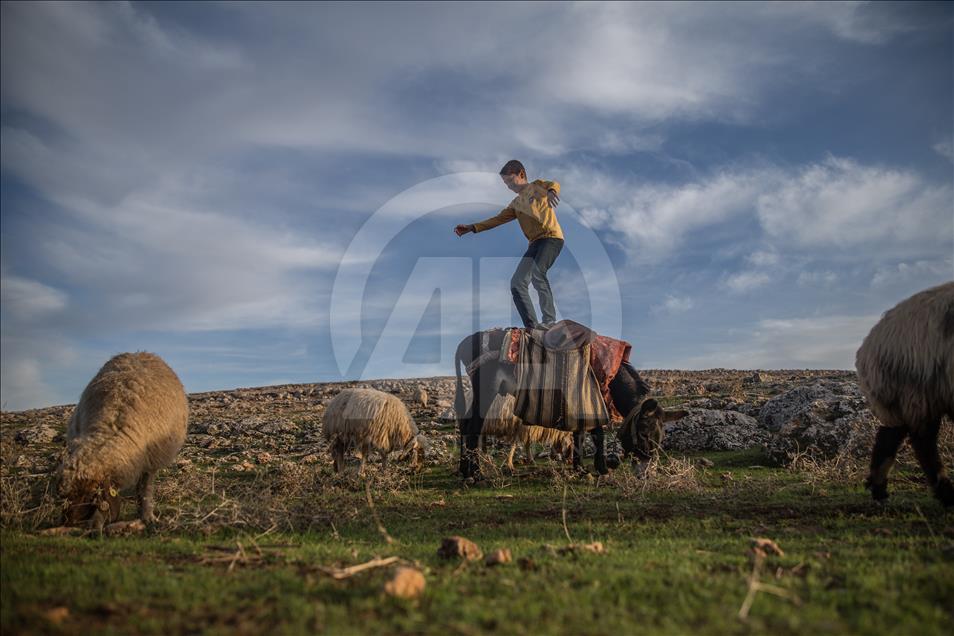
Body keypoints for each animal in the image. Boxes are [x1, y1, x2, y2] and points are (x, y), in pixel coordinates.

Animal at [57, 352, 190, 532]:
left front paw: (147, 516)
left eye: (91, 495)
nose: (68, 523)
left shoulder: (149, 461)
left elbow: (145, 489)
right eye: (67, 496)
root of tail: (140, 352)